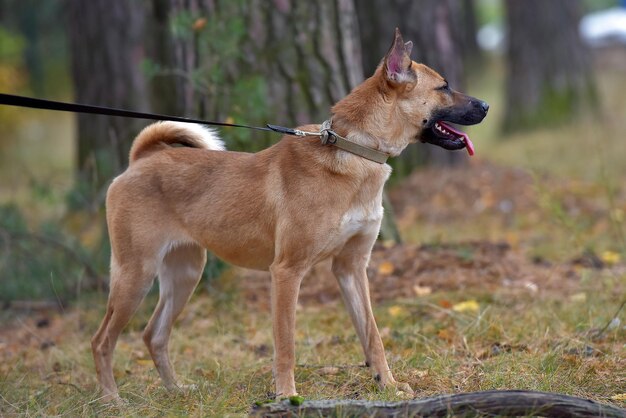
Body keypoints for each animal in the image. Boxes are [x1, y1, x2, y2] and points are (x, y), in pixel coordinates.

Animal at [91, 28, 488, 402]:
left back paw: (176, 391)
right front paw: (286, 395)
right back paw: (112, 401)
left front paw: (387, 385)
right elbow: (286, 344)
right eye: (444, 86)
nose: (485, 105)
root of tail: (141, 159)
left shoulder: (351, 268)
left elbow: (372, 335)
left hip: (185, 273)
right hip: (135, 274)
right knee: (102, 340)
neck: (353, 150)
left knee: (153, 335)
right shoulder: (286, 272)